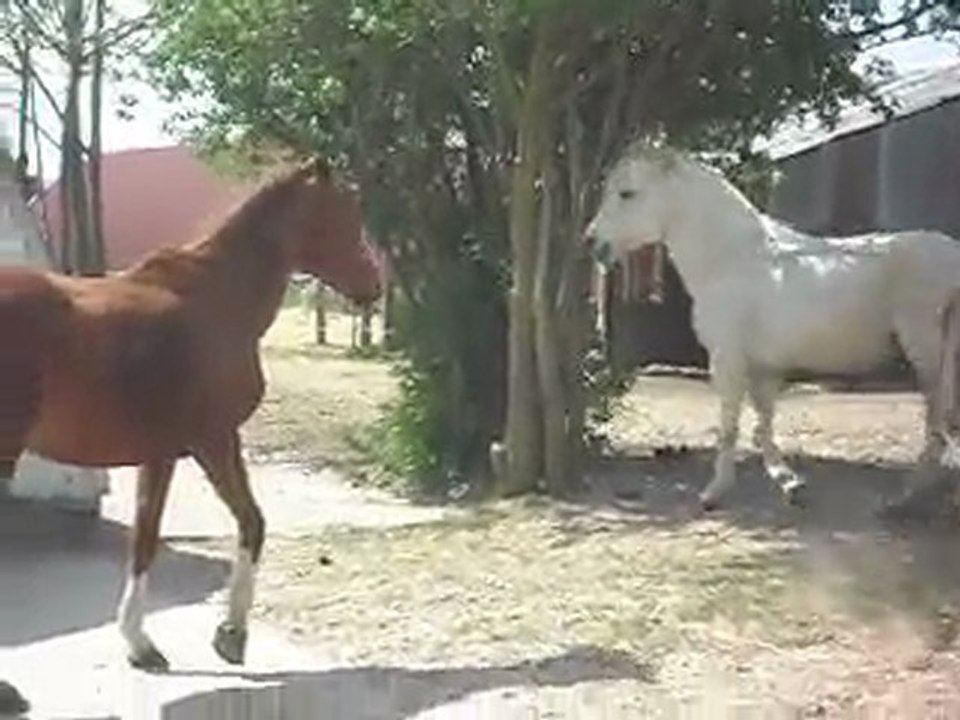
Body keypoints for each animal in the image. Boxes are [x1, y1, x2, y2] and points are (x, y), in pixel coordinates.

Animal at [0, 157, 382, 671]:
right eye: (342, 214)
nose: (374, 285)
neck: (216, 301)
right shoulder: (213, 439)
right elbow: (240, 523)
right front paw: (224, 634)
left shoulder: (164, 453)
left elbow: (155, 536)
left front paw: (150, 642)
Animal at [585, 144, 960, 514]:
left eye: (627, 193)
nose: (592, 241)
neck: (732, 261)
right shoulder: (764, 368)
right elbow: (763, 424)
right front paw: (790, 483)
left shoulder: (727, 360)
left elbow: (730, 427)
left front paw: (714, 494)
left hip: (926, 348)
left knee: (936, 420)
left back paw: (908, 497)